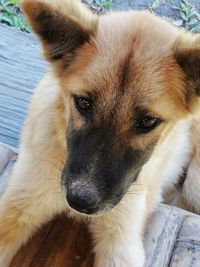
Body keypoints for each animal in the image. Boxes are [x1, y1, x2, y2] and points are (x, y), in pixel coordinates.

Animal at [0, 0, 199, 266]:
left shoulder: (121, 238)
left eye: (148, 121)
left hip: (194, 185)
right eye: (83, 103)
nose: (80, 202)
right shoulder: (19, 205)